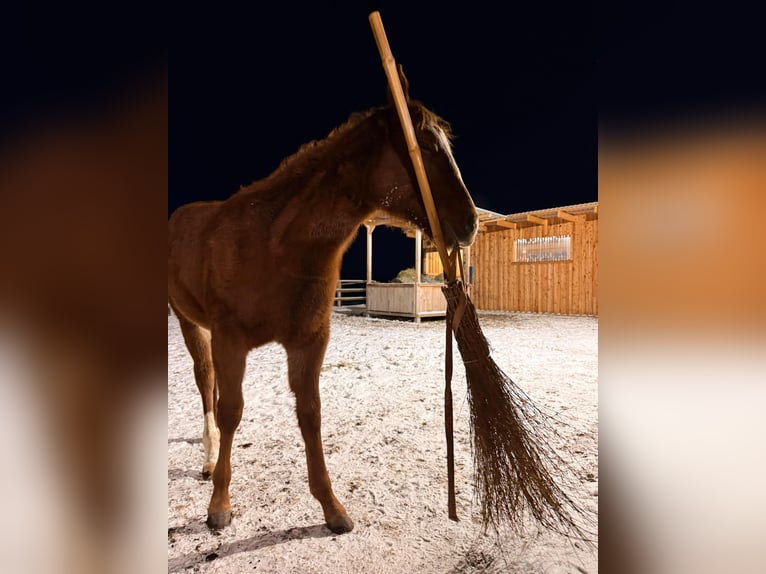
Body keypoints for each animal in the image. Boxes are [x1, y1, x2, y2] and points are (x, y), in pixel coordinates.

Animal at [167, 75, 478, 534]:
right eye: (423, 145)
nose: (470, 222)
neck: (274, 245)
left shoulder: (309, 342)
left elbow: (310, 415)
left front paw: (331, 507)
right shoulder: (230, 340)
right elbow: (231, 412)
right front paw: (219, 504)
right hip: (189, 321)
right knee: (207, 383)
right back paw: (208, 460)